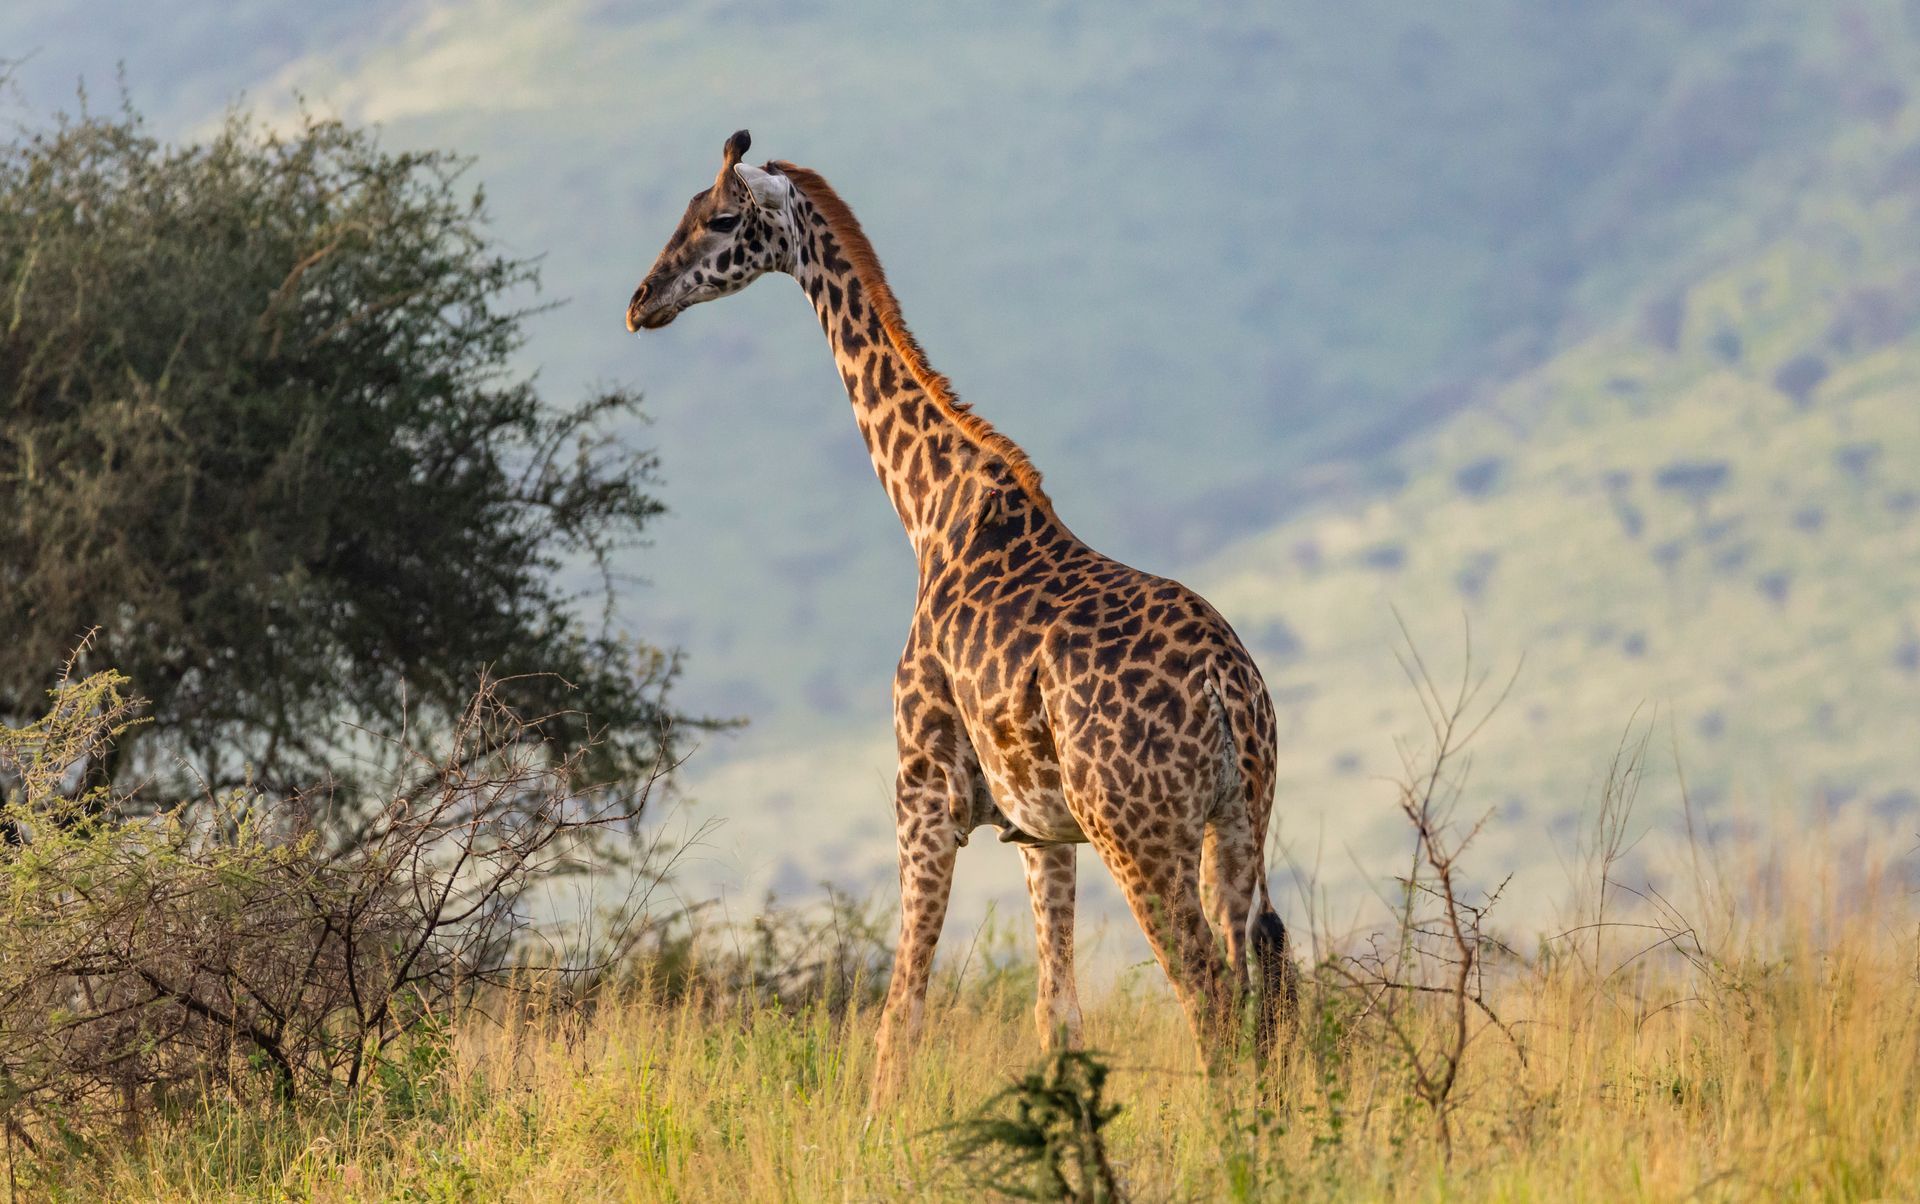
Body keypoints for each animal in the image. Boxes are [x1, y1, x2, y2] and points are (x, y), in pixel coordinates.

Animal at [625, 131, 1298, 1098]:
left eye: (717, 218)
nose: (641, 302)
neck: (929, 507)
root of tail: (1226, 686)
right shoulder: (1040, 829)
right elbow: (1056, 1018)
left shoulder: (924, 790)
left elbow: (898, 1016)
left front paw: (875, 1127)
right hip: (1239, 819)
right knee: (1258, 995)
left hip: (1142, 832)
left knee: (1208, 997)